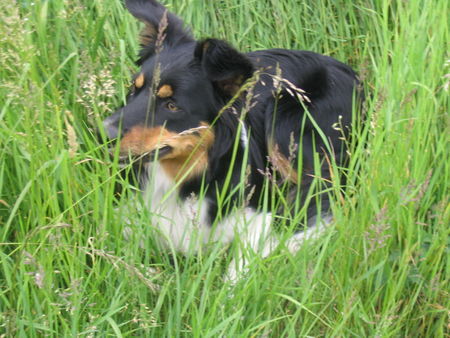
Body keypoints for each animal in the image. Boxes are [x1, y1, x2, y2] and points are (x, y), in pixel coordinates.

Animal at [102, 0, 362, 280]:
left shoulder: (257, 217)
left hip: (286, 123)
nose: (102, 134)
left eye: (171, 105)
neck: (183, 177)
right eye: (134, 90)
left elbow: (239, 271)